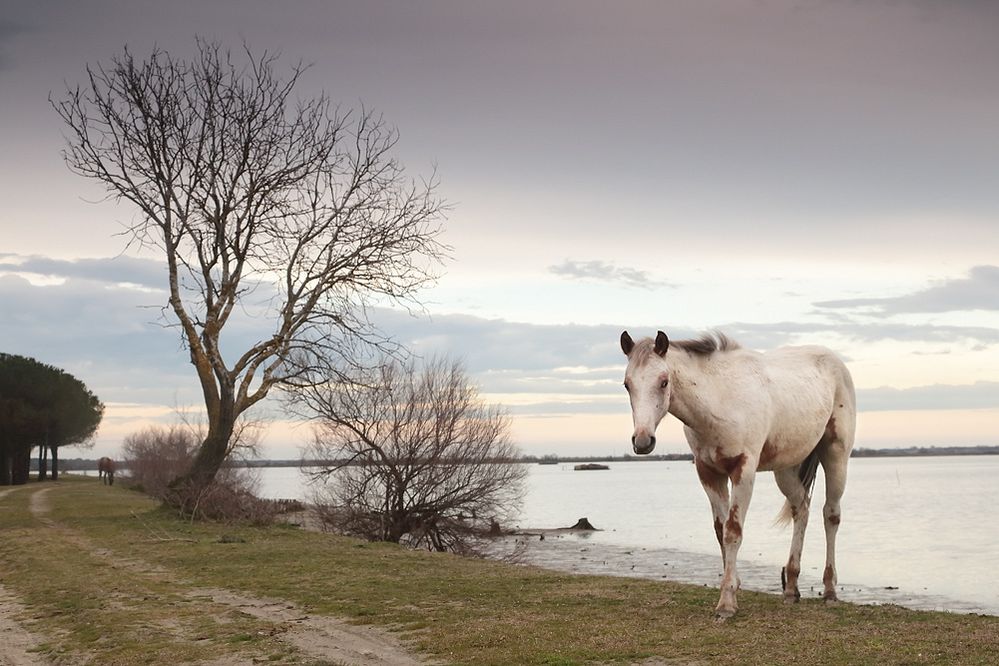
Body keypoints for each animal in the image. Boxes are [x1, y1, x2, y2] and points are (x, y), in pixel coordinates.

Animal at [620, 330, 856, 616]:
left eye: (664, 382)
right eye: (627, 384)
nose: (643, 441)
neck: (720, 399)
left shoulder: (743, 470)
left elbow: (733, 531)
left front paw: (726, 603)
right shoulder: (708, 473)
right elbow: (720, 530)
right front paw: (732, 587)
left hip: (835, 455)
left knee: (830, 515)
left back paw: (830, 590)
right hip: (786, 468)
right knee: (801, 508)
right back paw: (791, 588)